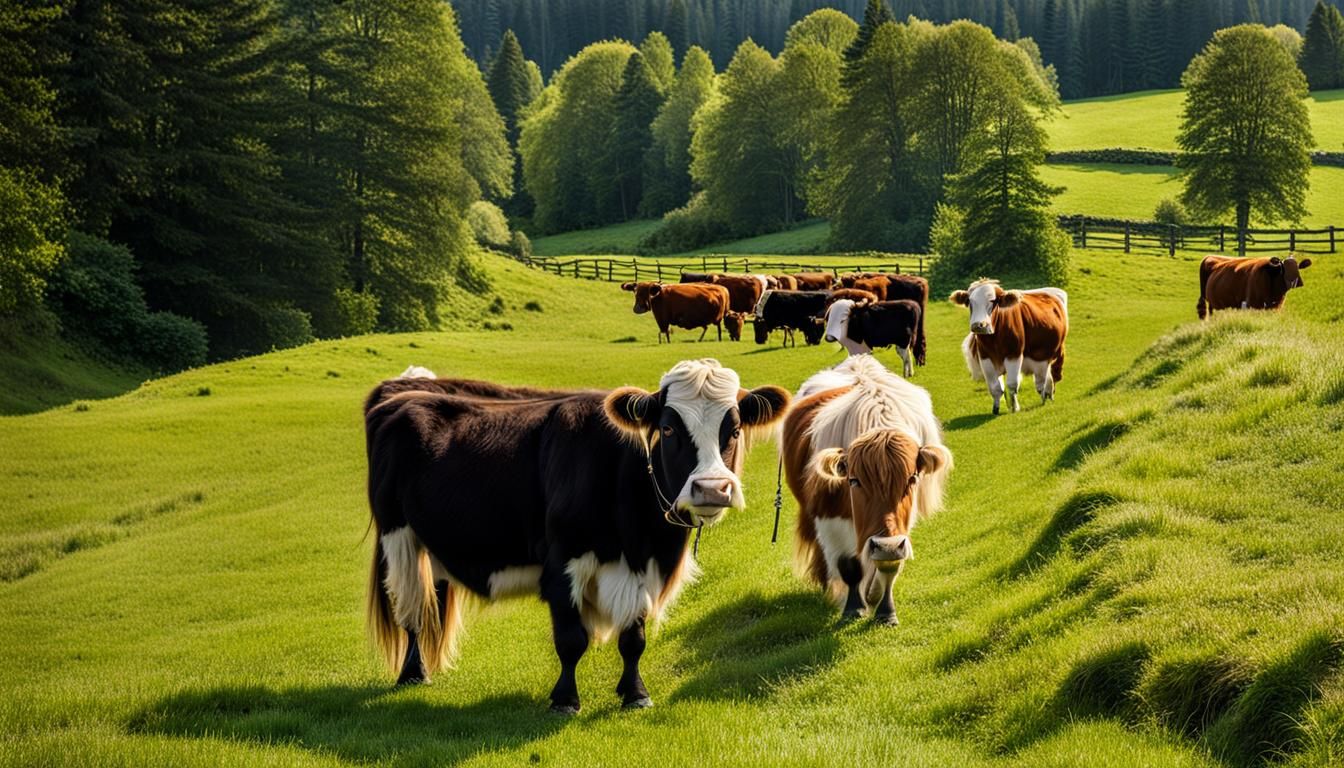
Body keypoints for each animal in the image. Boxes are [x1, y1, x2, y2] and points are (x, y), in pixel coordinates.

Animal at [364, 361, 790, 712]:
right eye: (668, 428)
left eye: (733, 429)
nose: (712, 488)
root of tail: (400, 391)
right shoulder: (563, 562)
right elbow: (571, 639)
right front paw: (565, 699)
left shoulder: (641, 569)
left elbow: (633, 638)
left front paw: (635, 693)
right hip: (399, 538)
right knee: (412, 608)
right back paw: (413, 673)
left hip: (434, 542)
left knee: (432, 599)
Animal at [781, 355, 952, 624]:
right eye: (853, 481)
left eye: (912, 479)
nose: (886, 544)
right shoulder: (829, 519)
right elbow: (848, 565)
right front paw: (853, 607)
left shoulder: (899, 530)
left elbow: (890, 565)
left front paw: (884, 608)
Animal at [950, 279, 1069, 415]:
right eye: (969, 301)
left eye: (993, 301)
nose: (978, 325)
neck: (994, 339)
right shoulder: (985, 357)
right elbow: (995, 387)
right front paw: (996, 408)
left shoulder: (1014, 354)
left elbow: (1012, 384)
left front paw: (1014, 408)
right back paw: (1046, 394)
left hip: (1054, 352)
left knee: (1050, 375)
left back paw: (1047, 395)